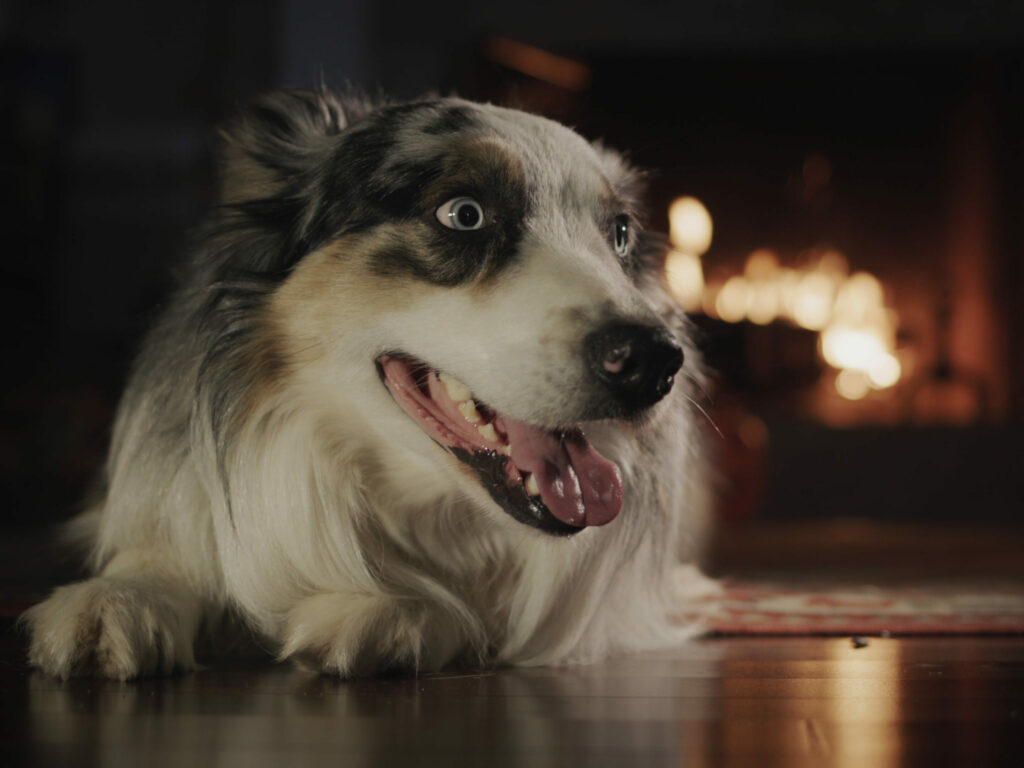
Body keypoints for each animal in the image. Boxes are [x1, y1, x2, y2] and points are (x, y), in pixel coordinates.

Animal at [24, 90, 716, 679]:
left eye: (619, 235)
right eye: (464, 214)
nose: (655, 362)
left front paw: (390, 609)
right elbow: (163, 546)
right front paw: (116, 597)